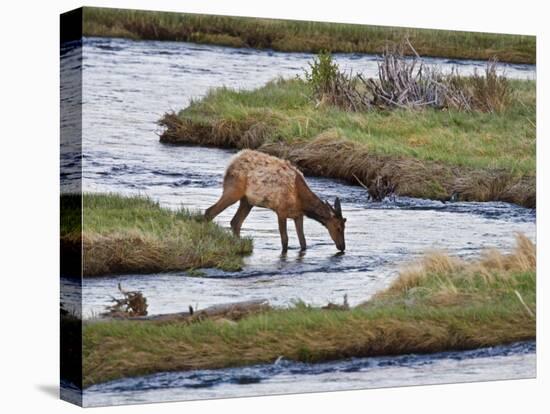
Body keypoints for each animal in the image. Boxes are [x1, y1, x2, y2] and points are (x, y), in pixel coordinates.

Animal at [205, 150, 348, 252]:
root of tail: (230, 163)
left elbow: (303, 242)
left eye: (344, 227)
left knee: (235, 222)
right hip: (233, 190)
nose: (342, 247)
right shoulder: (281, 210)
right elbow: (285, 240)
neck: (301, 201)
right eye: (338, 227)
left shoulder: (298, 215)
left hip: (247, 201)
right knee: (210, 212)